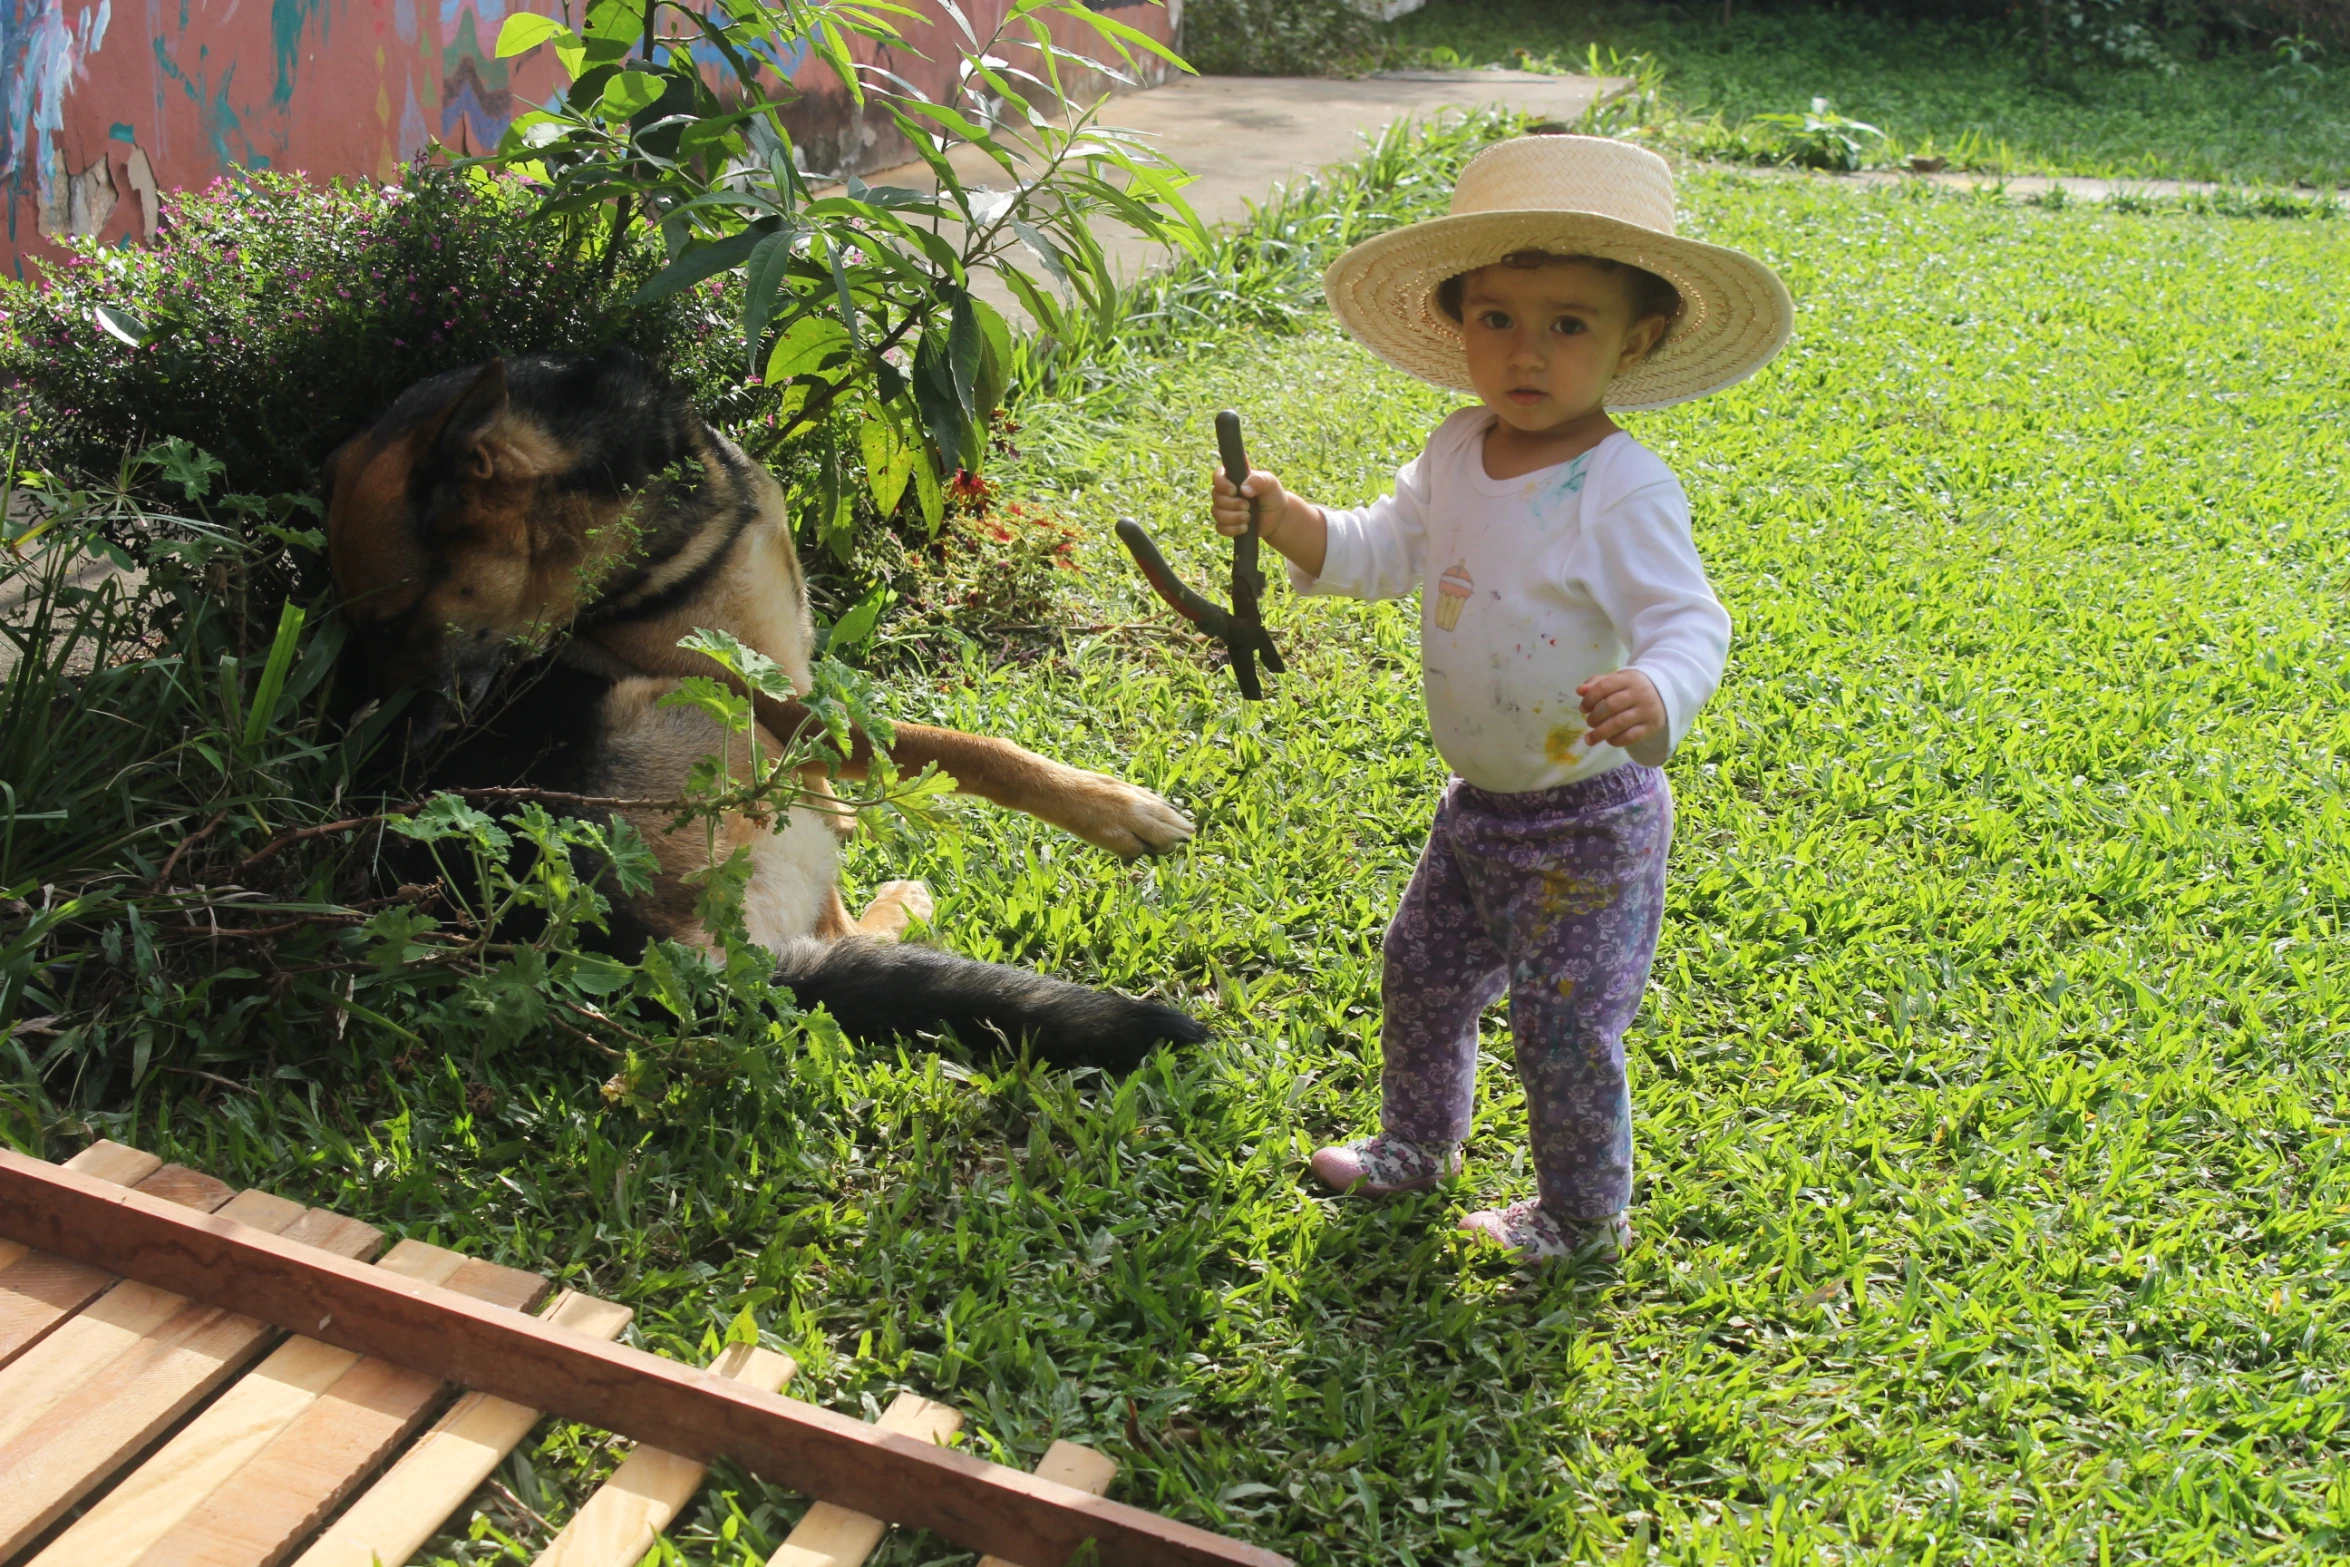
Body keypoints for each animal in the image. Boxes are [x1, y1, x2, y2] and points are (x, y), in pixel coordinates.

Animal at [326, 350, 1212, 1071]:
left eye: (389, 624)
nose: (395, 761)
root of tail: (634, 953)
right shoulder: (778, 705)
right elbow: (955, 747)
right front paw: (1114, 808)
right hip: (719, 725)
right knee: (835, 934)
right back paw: (900, 901)